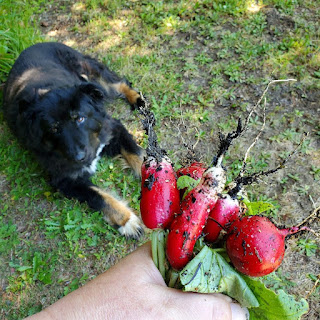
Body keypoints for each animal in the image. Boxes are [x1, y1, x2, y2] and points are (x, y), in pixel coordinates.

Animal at [2, 42, 145, 238]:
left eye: (80, 118)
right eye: (54, 128)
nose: (78, 158)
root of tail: (36, 44)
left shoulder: (113, 128)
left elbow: (136, 155)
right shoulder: (66, 180)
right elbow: (99, 197)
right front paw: (127, 221)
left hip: (92, 74)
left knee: (119, 82)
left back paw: (137, 99)